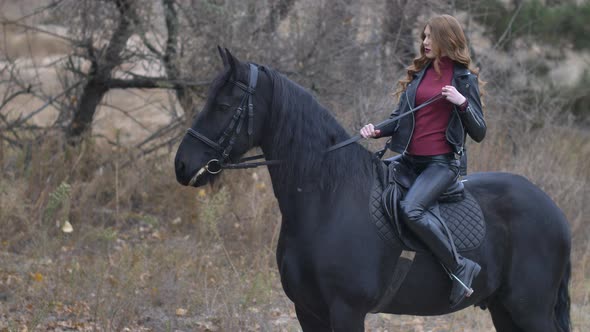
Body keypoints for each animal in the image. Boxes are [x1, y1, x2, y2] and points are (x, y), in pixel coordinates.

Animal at [175, 48, 572, 330]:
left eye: (224, 105)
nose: (182, 165)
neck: (327, 200)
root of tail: (554, 211)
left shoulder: (347, 310)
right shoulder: (307, 311)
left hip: (530, 309)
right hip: (505, 309)